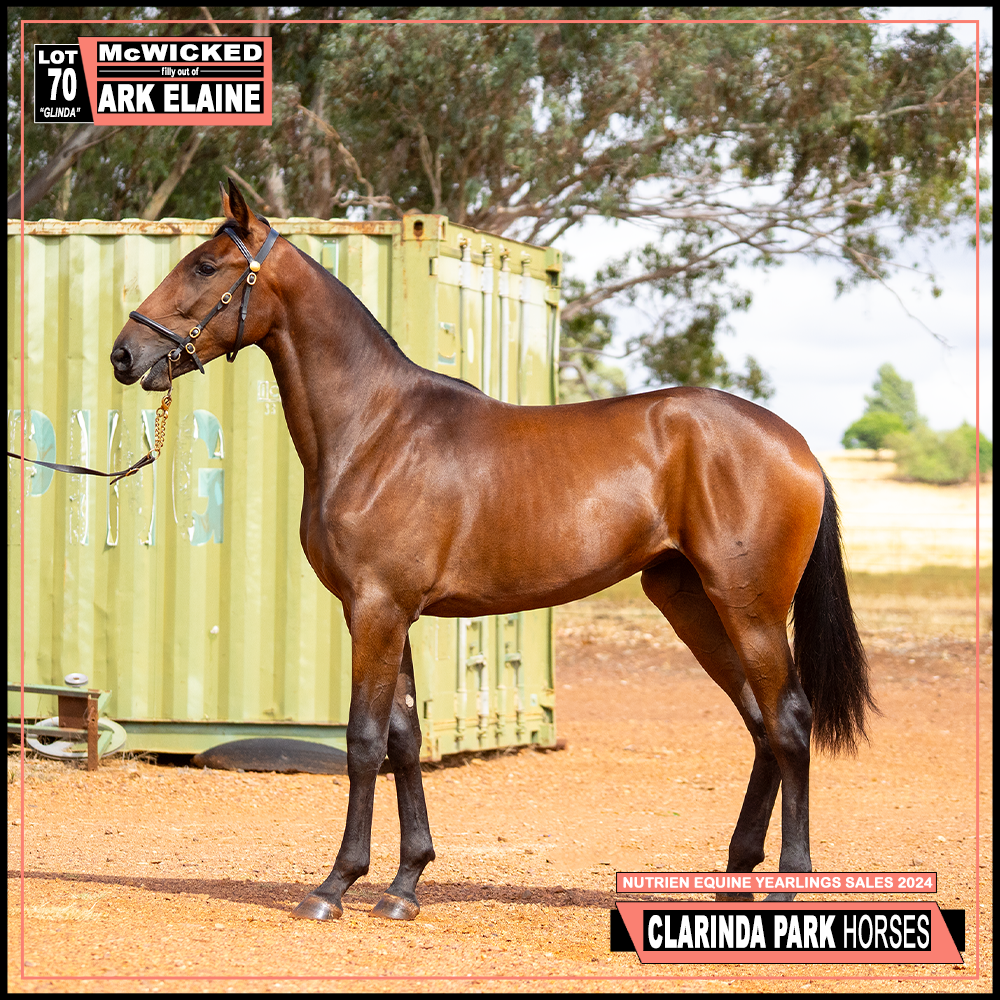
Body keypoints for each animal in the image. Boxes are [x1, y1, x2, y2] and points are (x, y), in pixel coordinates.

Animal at [111, 180, 876, 922]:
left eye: (205, 266)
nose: (124, 354)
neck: (375, 430)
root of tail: (799, 446)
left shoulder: (375, 610)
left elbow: (363, 742)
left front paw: (335, 885)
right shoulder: (393, 615)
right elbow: (405, 739)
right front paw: (404, 884)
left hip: (748, 608)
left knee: (789, 722)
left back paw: (788, 885)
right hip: (690, 600)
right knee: (760, 725)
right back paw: (735, 877)